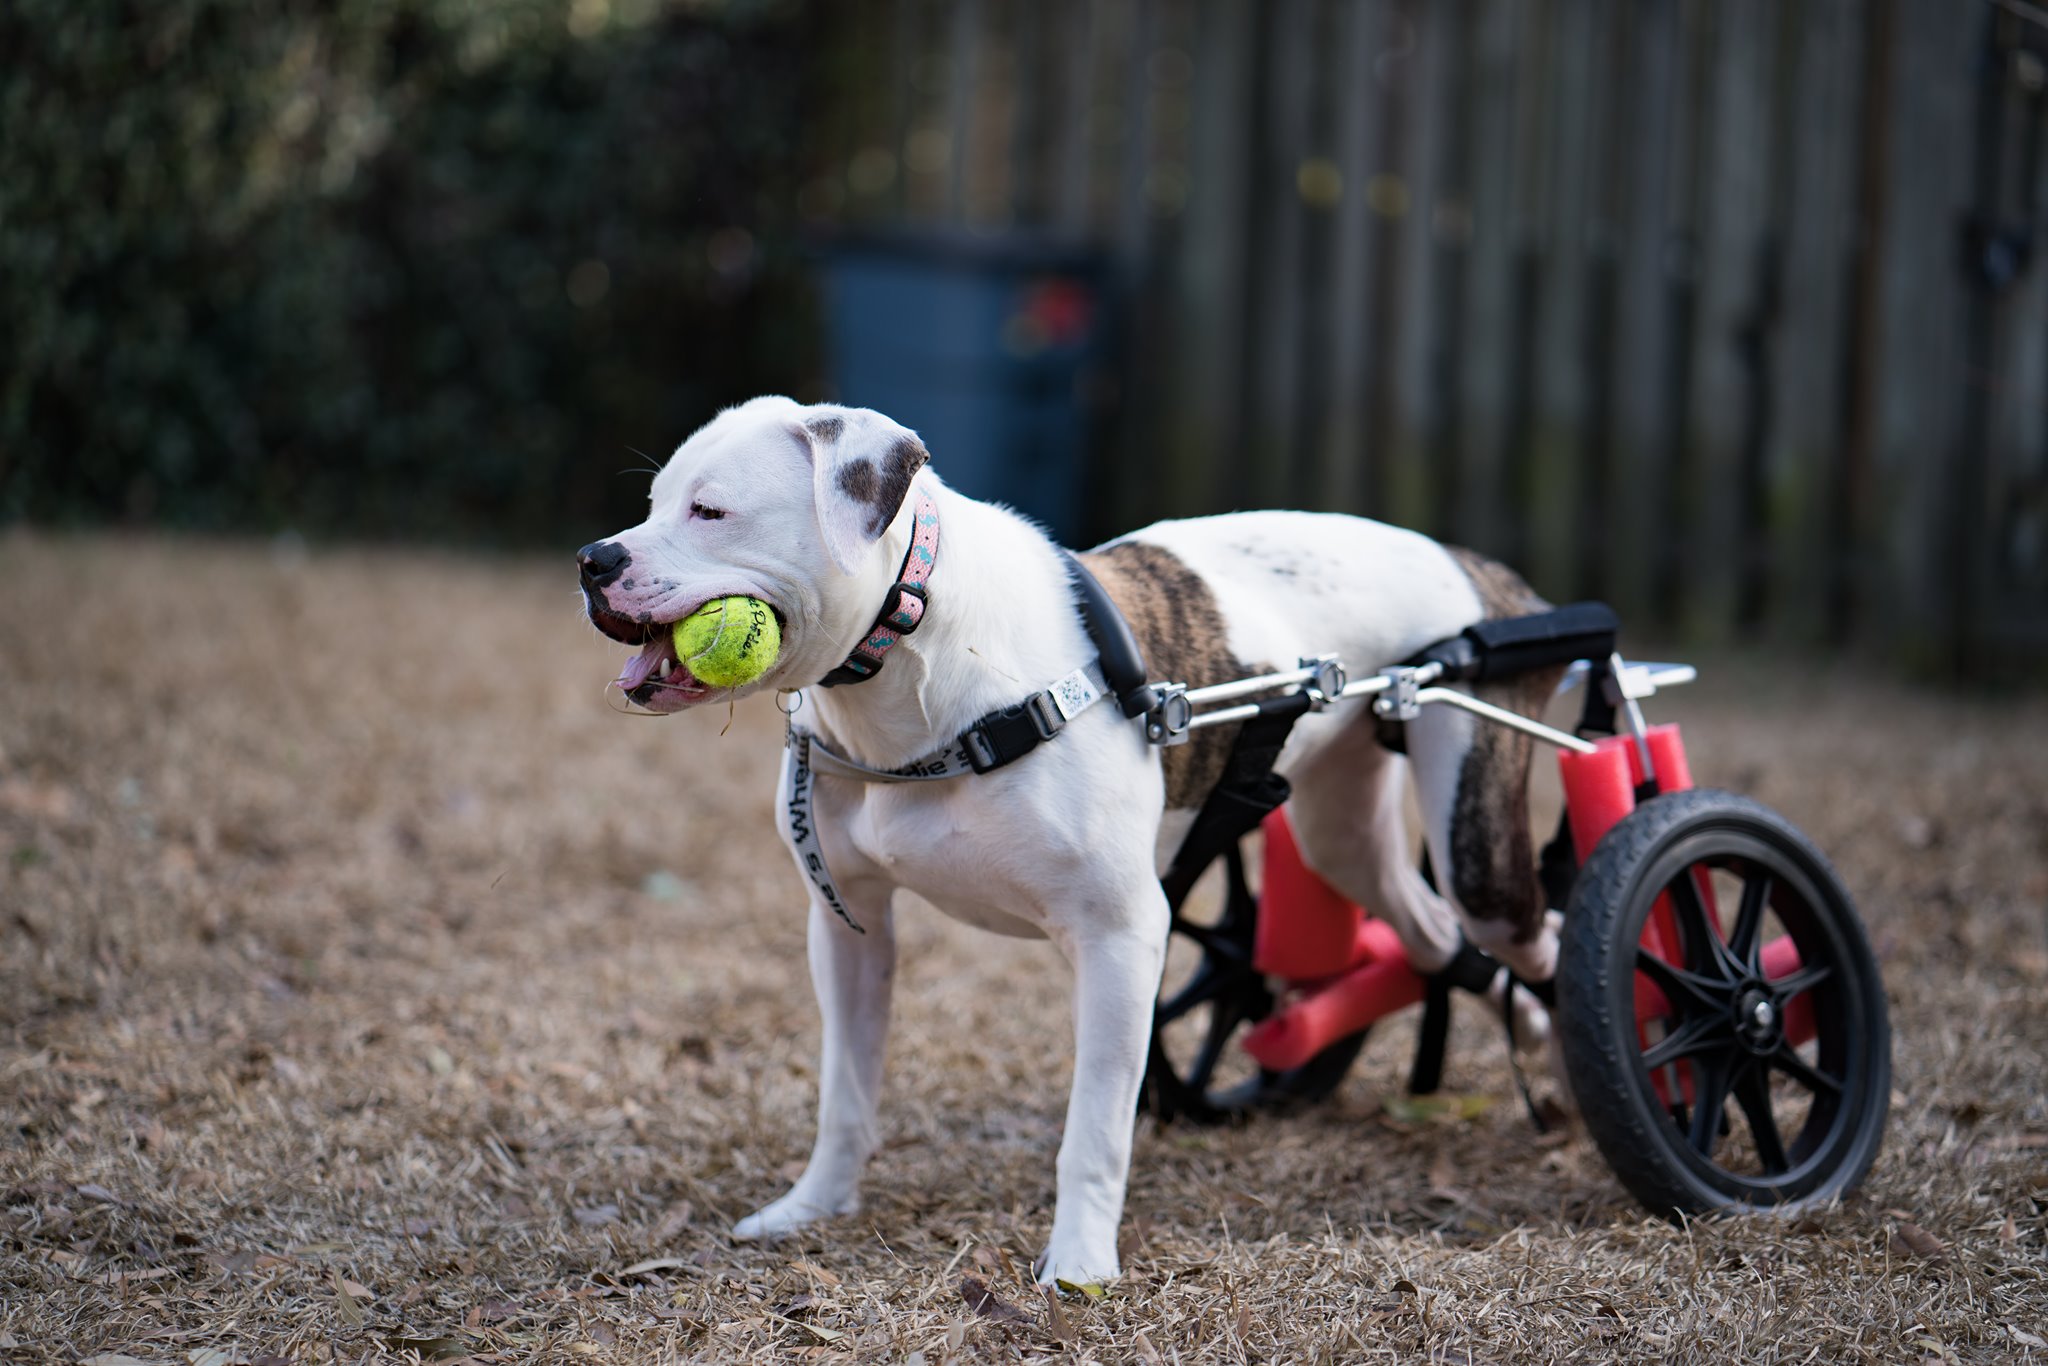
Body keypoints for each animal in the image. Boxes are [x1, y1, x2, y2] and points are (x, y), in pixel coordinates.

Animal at [585, 397, 1556, 1294]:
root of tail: (1484, 569)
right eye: (653, 502)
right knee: (1432, 929)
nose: (597, 560)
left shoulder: (1121, 936)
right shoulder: (850, 928)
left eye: (711, 512)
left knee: (1533, 926)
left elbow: (1093, 1131)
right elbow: (846, 1093)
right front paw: (814, 1207)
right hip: (1343, 835)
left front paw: (1081, 1267)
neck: (919, 655)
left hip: (1480, 852)